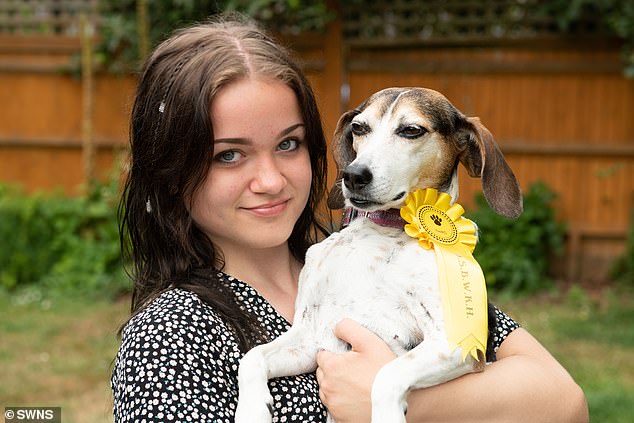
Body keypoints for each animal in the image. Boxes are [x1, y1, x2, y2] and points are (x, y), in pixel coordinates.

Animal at [235, 87, 520, 423]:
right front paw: (251, 410)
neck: (383, 233)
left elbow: (386, 375)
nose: (353, 175)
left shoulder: (457, 344)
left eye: (412, 130)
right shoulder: (309, 337)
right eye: (359, 127)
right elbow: (252, 357)